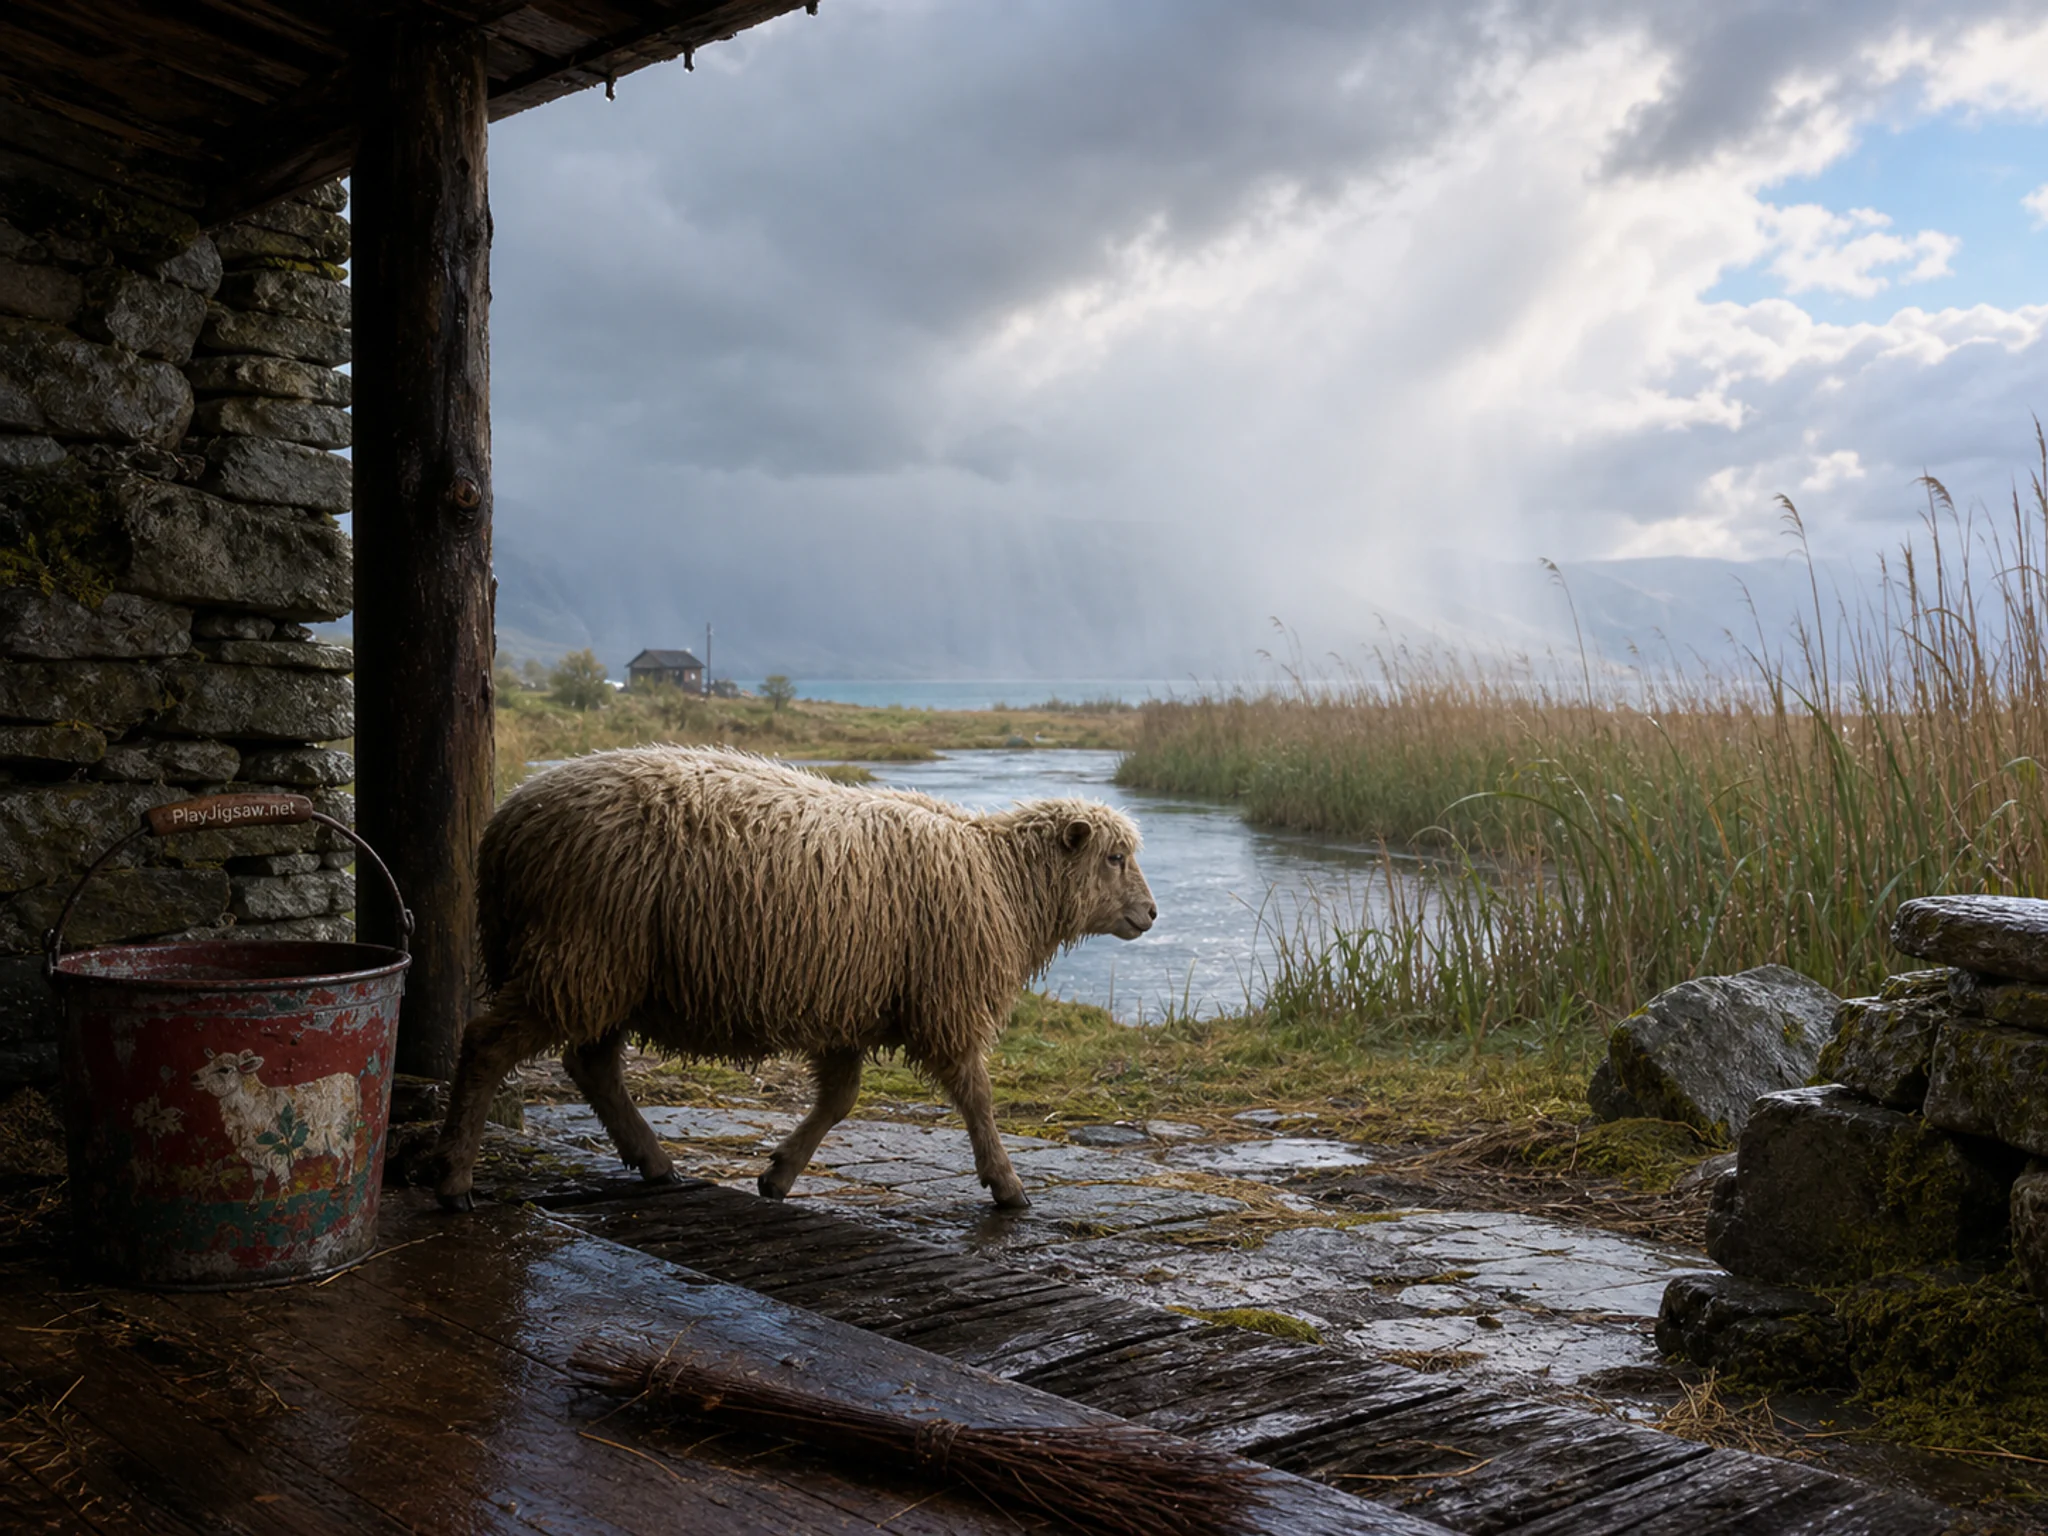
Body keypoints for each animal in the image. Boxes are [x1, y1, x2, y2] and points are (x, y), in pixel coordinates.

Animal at [190, 1049, 359, 1196]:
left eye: (224, 1070)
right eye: (209, 1063)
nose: (194, 1077)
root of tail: (349, 1078)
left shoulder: (277, 1149)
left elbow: (281, 1177)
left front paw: (280, 1203)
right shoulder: (256, 1153)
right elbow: (259, 1181)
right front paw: (253, 1204)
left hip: (336, 1134)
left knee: (345, 1156)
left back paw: (341, 1182)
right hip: (344, 1133)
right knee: (349, 1153)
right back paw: (344, 1181)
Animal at [432, 745, 1156, 1212]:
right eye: (1115, 857)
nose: (1151, 913)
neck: (1003, 880)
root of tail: (507, 824)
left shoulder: (850, 1004)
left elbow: (839, 1101)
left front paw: (778, 1175)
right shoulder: (943, 1000)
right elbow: (976, 1097)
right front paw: (1007, 1185)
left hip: (605, 968)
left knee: (592, 1065)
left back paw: (654, 1164)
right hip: (585, 952)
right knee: (490, 1045)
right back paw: (455, 1179)